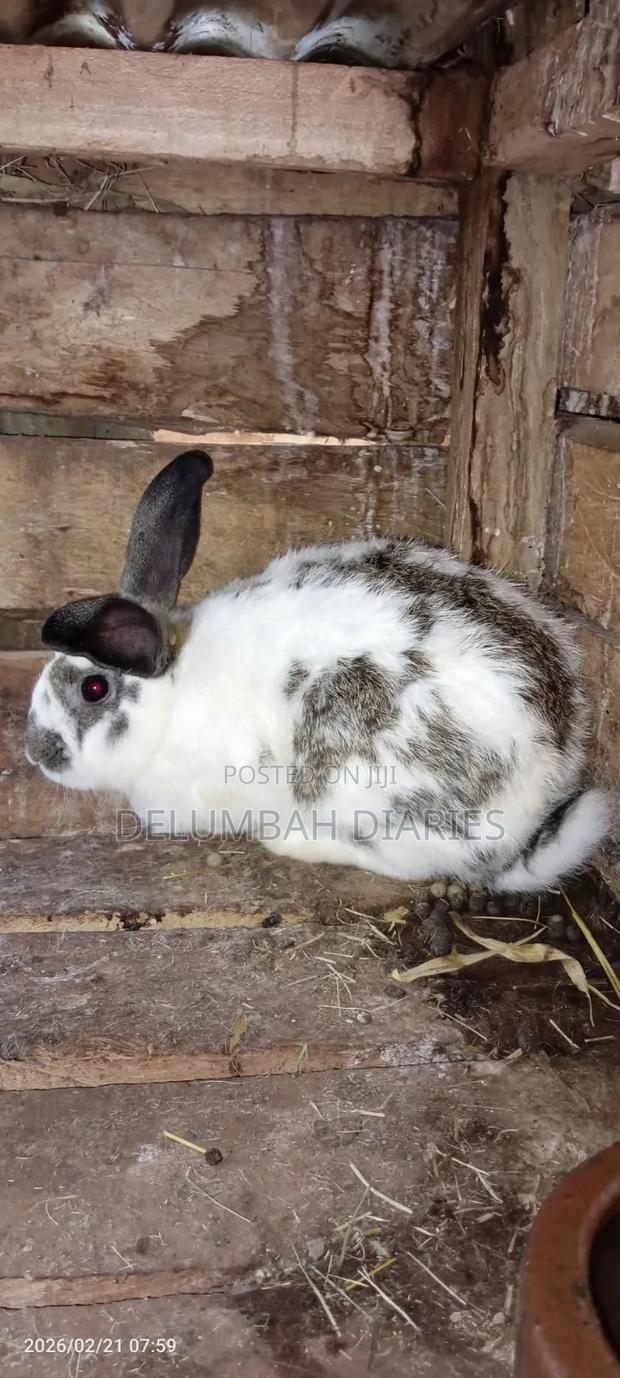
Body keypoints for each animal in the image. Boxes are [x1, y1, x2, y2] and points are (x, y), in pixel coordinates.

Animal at [25, 450, 611, 892]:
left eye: (93, 688)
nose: (35, 753)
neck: (171, 701)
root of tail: (540, 796)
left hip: (365, 795)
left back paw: (297, 843)